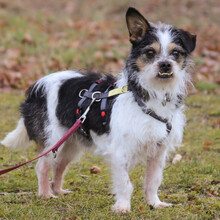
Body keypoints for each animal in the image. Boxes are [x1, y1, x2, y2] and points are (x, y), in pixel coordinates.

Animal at [0, 7, 197, 212]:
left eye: (176, 53)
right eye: (150, 52)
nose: (165, 64)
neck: (150, 94)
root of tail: (35, 87)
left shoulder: (158, 152)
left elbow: (153, 180)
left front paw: (154, 203)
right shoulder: (120, 152)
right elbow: (125, 183)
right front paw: (123, 207)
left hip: (70, 142)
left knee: (59, 165)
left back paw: (58, 190)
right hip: (52, 139)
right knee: (42, 166)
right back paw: (46, 194)